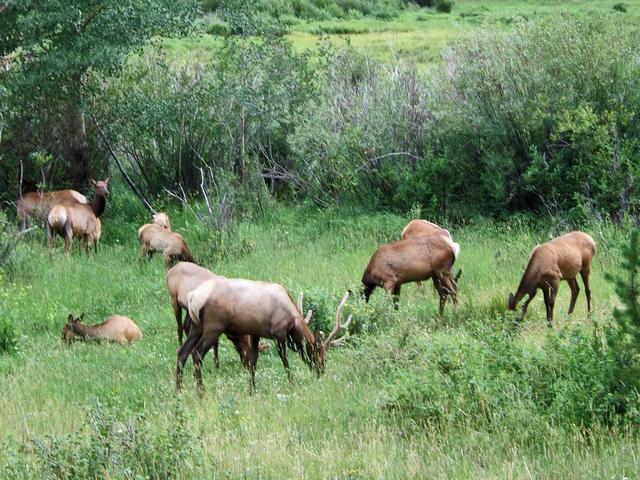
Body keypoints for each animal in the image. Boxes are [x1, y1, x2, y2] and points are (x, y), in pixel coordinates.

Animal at [178, 279, 352, 392]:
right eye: (320, 353)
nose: (320, 372)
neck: (293, 321)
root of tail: (192, 297)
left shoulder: (255, 334)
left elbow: (252, 362)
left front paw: (251, 389)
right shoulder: (278, 333)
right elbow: (285, 361)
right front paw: (292, 384)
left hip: (196, 327)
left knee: (182, 353)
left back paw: (178, 391)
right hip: (213, 326)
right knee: (196, 354)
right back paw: (201, 392)